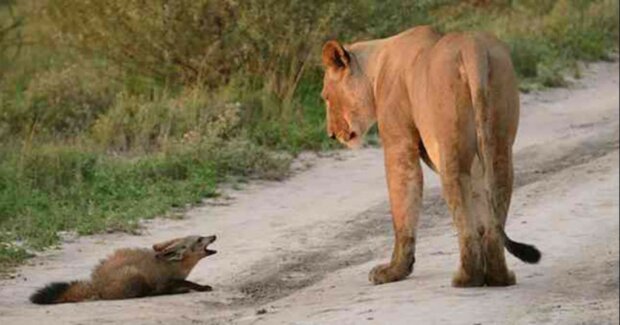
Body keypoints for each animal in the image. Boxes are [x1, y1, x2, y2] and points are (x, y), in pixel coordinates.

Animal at [29, 234, 218, 302]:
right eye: (200, 239)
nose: (214, 236)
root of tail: (96, 284)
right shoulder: (166, 281)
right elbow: (187, 283)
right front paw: (201, 287)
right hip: (134, 275)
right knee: (142, 294)